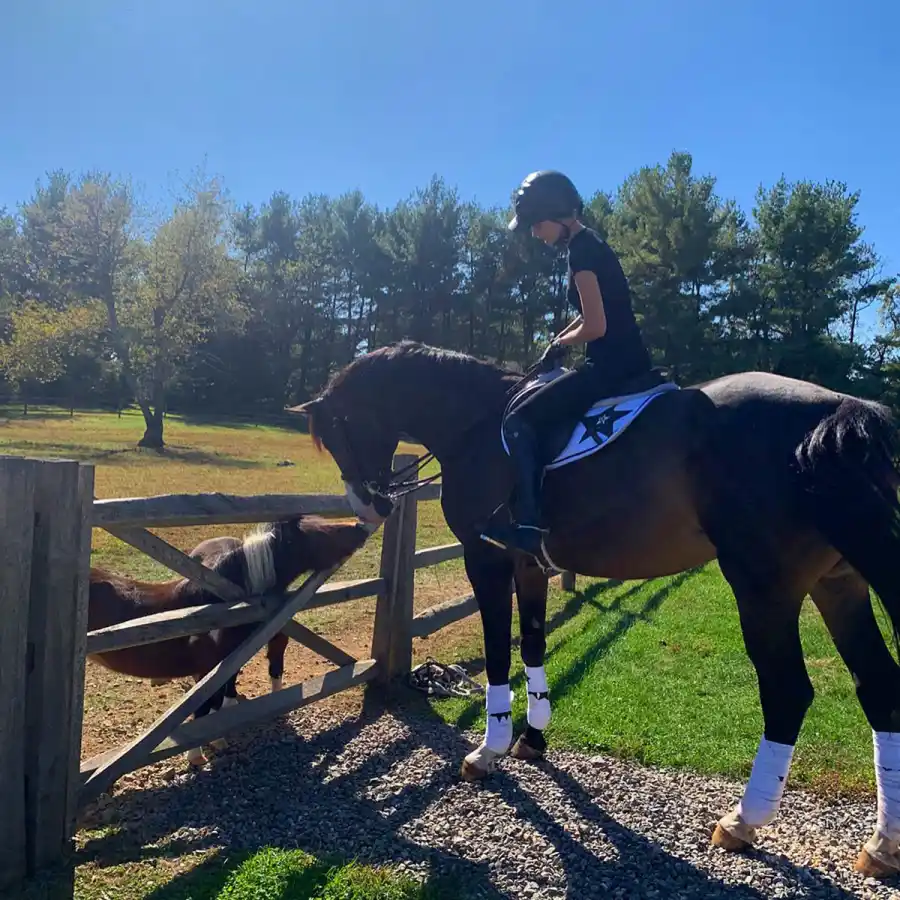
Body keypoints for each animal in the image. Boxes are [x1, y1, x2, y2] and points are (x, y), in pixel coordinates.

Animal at [88, 515, 370, 766]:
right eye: (320, 533)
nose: (361, 527)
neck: (220, 604)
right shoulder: (205, 670)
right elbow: (203, 708)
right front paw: (197, 754)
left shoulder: (226, 663)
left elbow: (219, 697)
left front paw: (217, 736)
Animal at [289, 339, 900, 879]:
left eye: (338, 431)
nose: (368, 506)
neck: (476, 423)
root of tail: (837, 408)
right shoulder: (529, 564)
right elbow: (533, 644)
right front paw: (532, 739)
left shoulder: (485, 559)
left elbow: (496, 651)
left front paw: (489, 751)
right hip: (837, 583)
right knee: (878, 686)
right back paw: (882, 845)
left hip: (763, 586)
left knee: (788, 692)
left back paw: (743, 821)